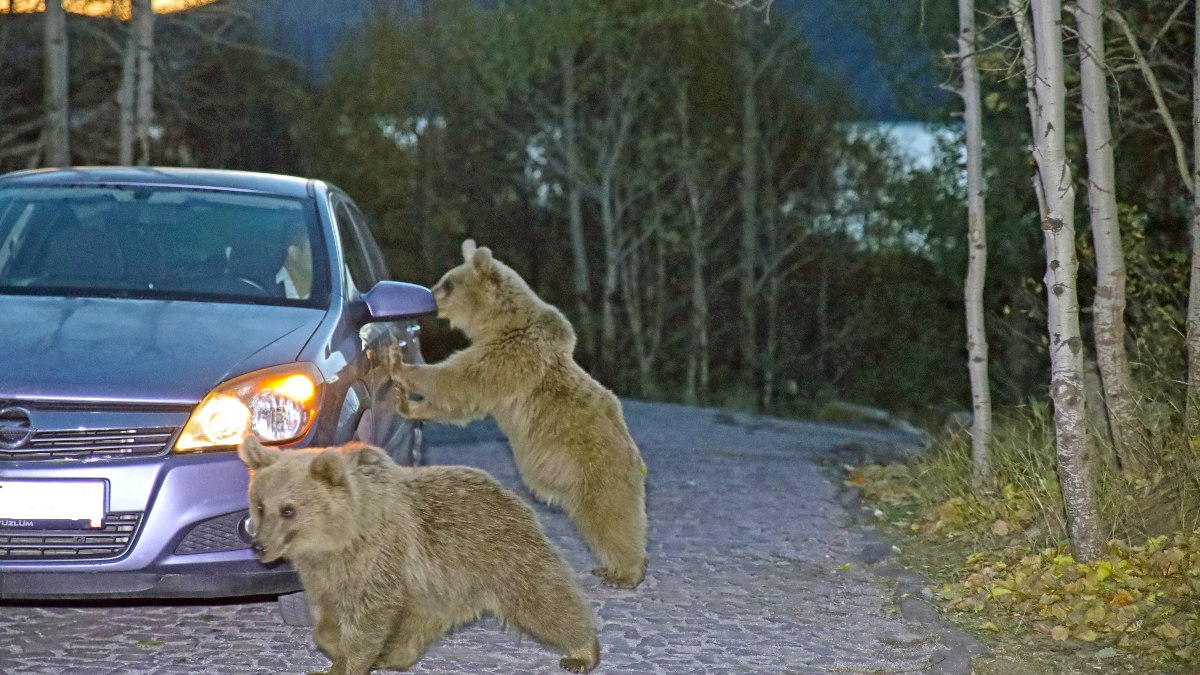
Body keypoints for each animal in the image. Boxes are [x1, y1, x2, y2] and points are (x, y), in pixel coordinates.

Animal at [238, 432, 604, 667]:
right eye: (260, 505)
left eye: (288, 509)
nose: (259, 545)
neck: (339, 538)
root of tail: (509, 493)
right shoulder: (323, 574)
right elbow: (326, 618)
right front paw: (336, 647)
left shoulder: (379, 558)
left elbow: (369, 619)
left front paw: (349, 660)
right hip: (439, 586)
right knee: (418, 624)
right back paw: (393, 657)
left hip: (502, 555)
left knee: (544, 601)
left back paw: (582, 650)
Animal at [393, 239, 648, 586]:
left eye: (448, 283)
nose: (428, 299)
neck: (497, 322)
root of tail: (635, 458)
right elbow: (460, 402)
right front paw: (408, 404)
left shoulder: (510, 356)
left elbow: (458, 380)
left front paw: (397, 365)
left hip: (598, 468)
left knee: (610, 518)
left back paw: (624, 572)